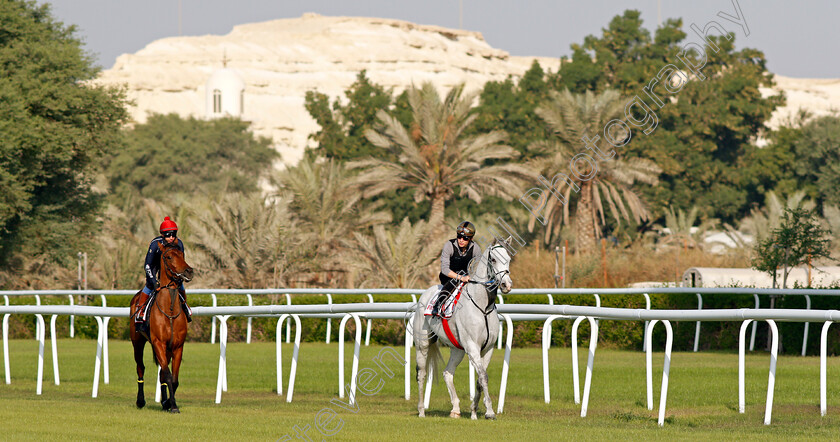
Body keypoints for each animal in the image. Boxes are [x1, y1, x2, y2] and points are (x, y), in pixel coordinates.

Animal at [130, 240, 194, 412]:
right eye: (169, 257)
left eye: (182, 255)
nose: (189, 271)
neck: (169, 310)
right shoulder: (158, 343)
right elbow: (168, 375)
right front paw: (173, 406)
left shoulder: (177, 346)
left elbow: (173, 378)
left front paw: (168, 403)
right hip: (137, 342)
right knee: (140, 368)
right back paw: (140, 401)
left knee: (161, 375)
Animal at [412, 238, 512, 418]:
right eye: (493, 260)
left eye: (508, 258)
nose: (507, 284)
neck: (483, 306)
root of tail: (426, 293)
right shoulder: (472, 347)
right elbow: (483, 376)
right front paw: (489, 411)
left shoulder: (488, 348)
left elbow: (480, 379)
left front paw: (474, 410)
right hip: (422, 345)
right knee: (422, 374)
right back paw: (422, 410)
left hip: (457, 349)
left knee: (448, 373)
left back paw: (455, 409)